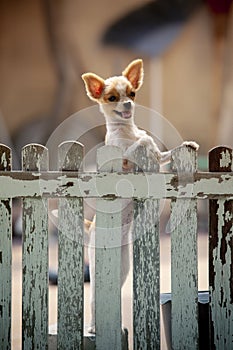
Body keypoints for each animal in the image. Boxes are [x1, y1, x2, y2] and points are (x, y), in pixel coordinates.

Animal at [82, 58, 198, 332]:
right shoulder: (123, 160)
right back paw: (92, 327)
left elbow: (161, 152)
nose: (127, 104)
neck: (127, 130)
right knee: (92, 299)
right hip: (98, 264)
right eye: (112, 98)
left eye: (132, 93)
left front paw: (186, 145)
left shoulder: (157, 154)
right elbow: (140, 145)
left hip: (123, 266)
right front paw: (142, 143)